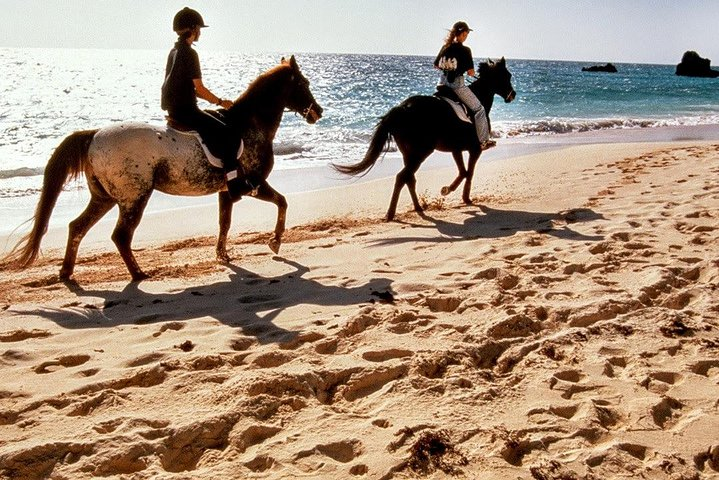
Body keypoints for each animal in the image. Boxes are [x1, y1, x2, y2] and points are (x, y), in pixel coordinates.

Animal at [2, 56, 324, 282]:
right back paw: (138, 274)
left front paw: (223, 255)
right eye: (304, 83)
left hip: (104, 197)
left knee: (77, 227)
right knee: (120, 236)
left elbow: (224, 223)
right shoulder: (252, 184)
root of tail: (94, 135)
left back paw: (67, 273)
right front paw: (275, 242)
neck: (250, 125)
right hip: (133, 197)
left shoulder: (227, 192)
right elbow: (282, 202)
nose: (318, 112)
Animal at [334, 57, 516, 221]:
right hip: (421, 152)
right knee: (403, 177)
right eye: (506, 76)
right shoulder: (475, 149)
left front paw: (450, 191)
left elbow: (463, 171)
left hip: (409, 154)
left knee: (409, 178)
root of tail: (401, 108)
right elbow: (468, 173)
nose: (513, 95)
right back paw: (391, 214)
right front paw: (460, 195)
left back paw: (418, 207)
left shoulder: (456, 149)